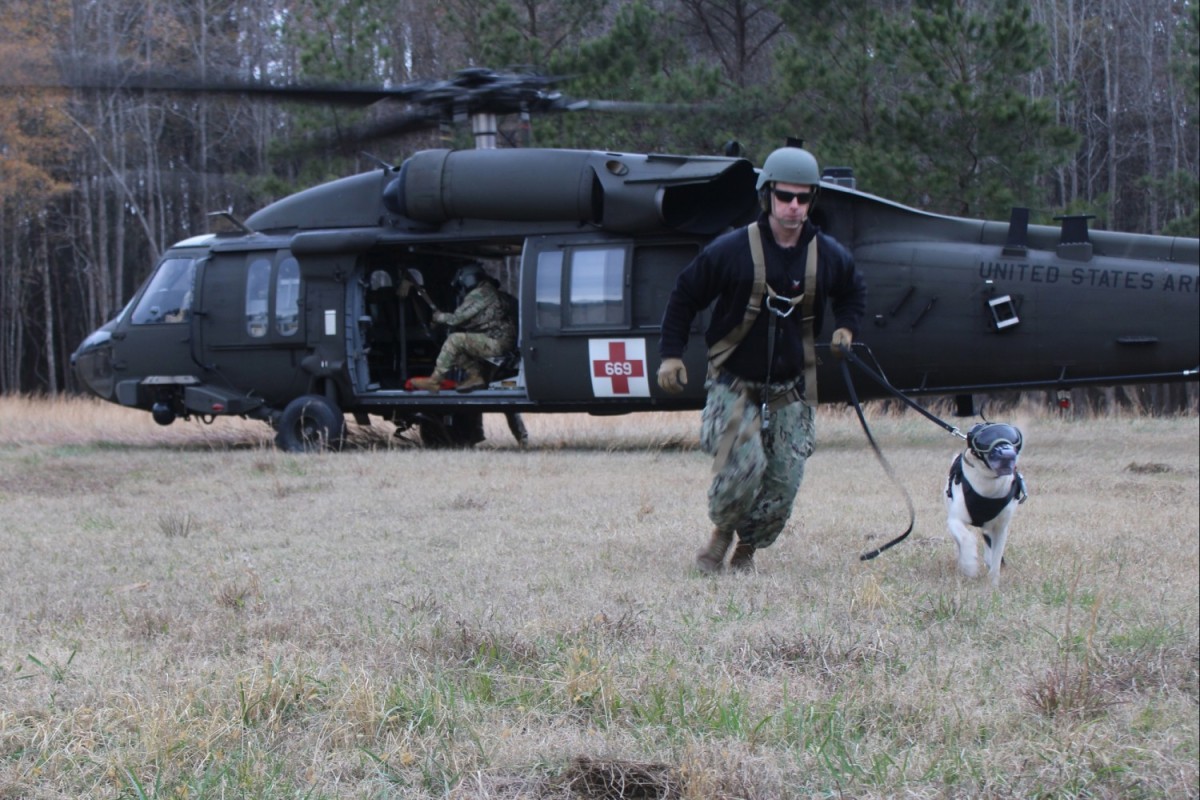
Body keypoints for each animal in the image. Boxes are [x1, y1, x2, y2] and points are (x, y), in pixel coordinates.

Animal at [940, 424, 1027, 587]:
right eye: (985, 439)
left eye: (1013, 438)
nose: (1007, 454)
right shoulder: (955, 519)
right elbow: (966, 537)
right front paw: (969, 564)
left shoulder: (1000, 528)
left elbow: (996, 555)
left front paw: (993, 583)